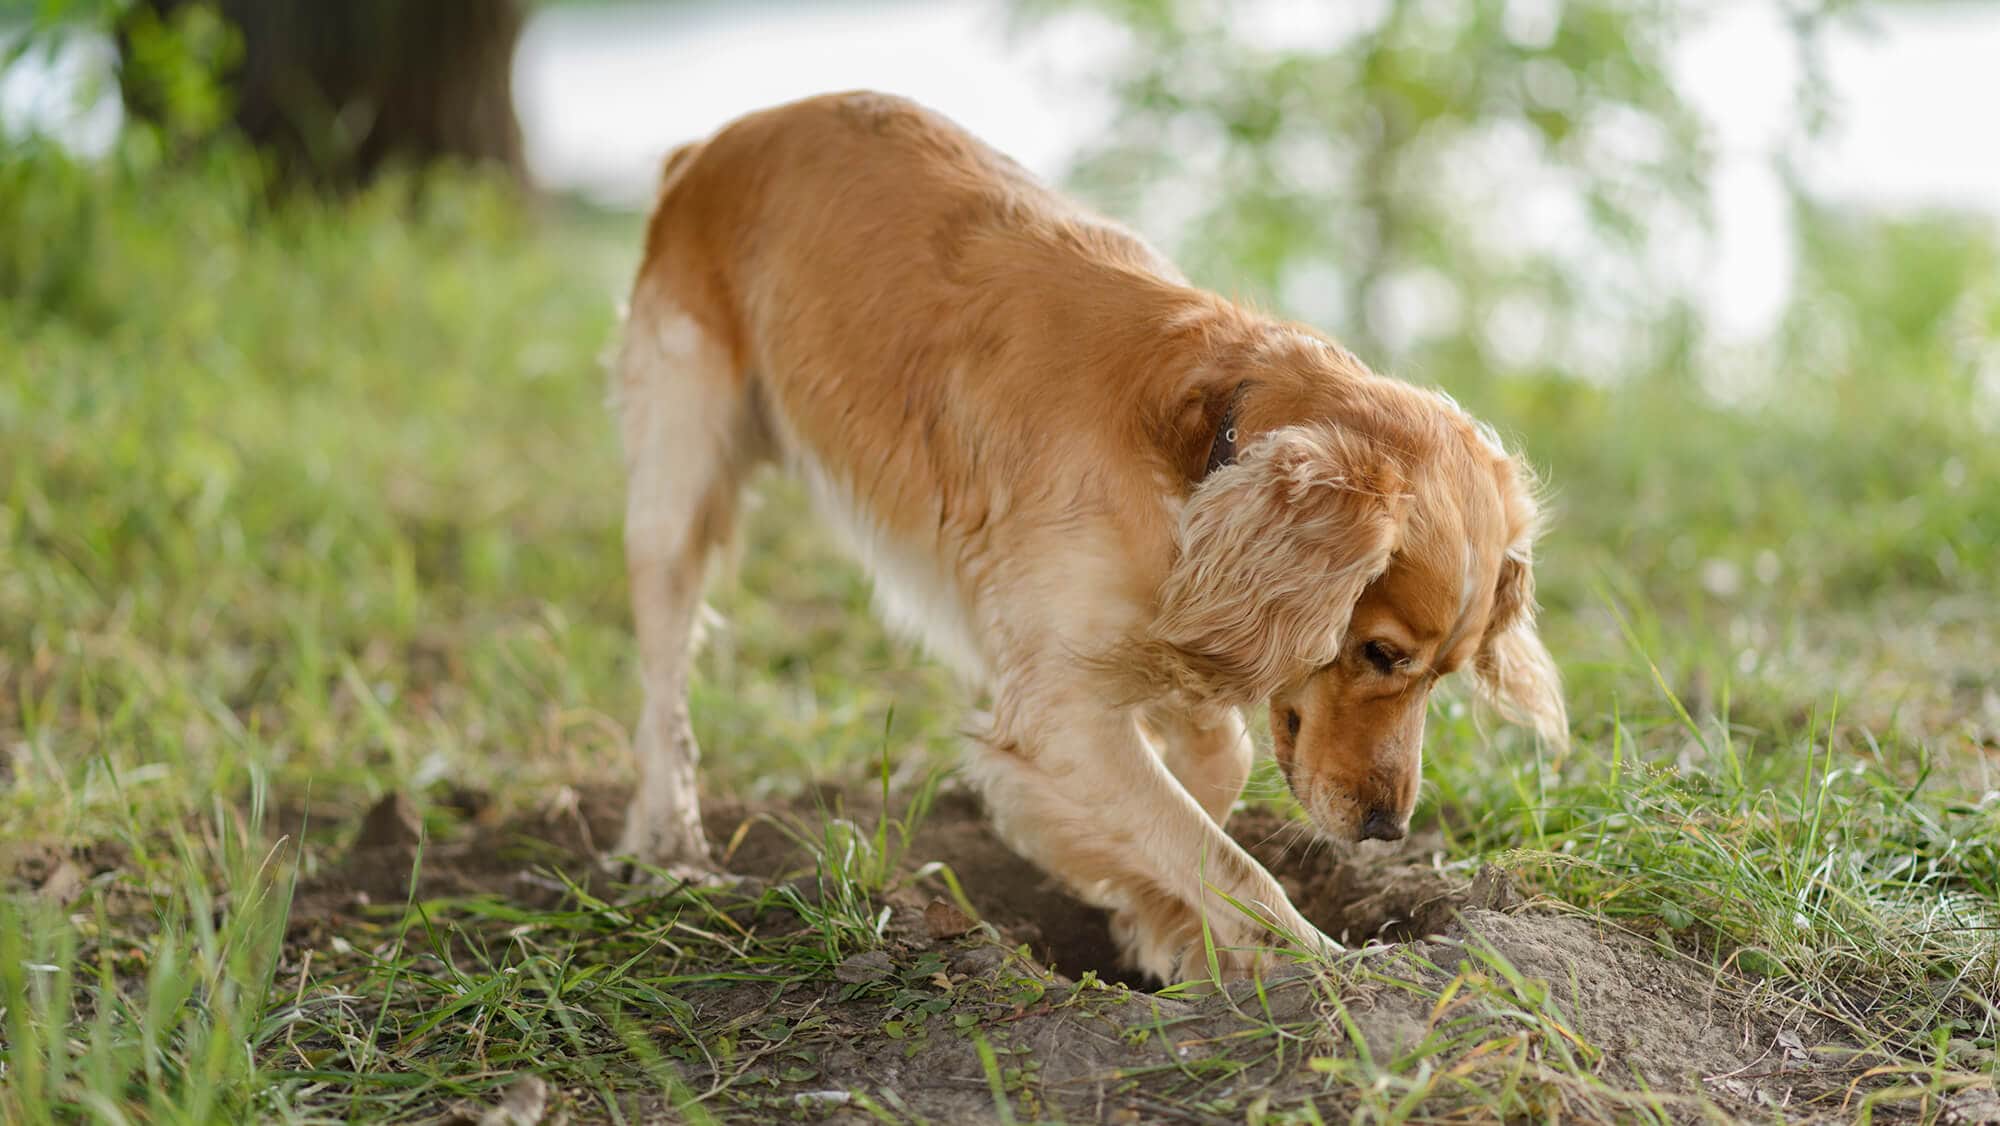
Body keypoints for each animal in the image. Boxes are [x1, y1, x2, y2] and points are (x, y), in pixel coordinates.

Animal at [608, 92, 1560, 984]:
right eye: (1381, 654)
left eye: (1443, 675)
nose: (1386, 828)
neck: (1199, 456)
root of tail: (717, 142)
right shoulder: (1059, 705)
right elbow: (1228, 863)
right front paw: (1312, 963)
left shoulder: (1173, 639)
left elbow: (1209, 779)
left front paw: (1159, 926)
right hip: (675, 491)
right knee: (662, 693)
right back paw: (669, 849)